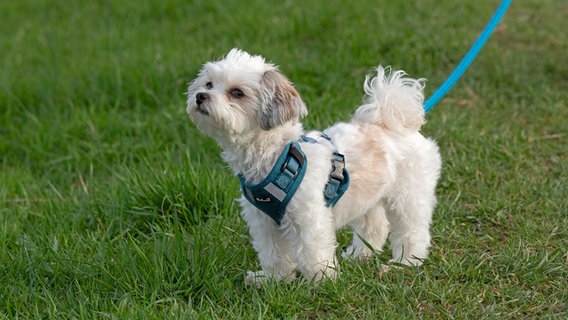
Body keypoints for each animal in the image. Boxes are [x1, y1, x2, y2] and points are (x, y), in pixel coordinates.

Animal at [185, 48, 440, 286]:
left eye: (237, 93)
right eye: (209, 84)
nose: (200, 96)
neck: (277, 158)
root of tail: (395, 124)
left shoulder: (308, 217)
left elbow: (312, 251)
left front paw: (323, 283)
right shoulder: (264, 222)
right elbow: (273, 253)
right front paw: (272, 279)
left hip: (408, 196)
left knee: (412, 231)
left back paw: (405, 262)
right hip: (368, 197)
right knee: (375, 226)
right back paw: (358, 255)